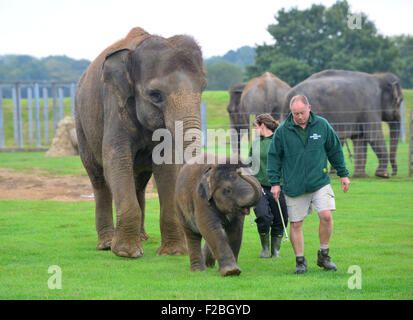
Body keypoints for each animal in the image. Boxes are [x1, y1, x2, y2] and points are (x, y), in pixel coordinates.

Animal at [74, 26, 206, 258]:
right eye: (155, 95)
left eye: (203, 88)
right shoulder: (115, 104)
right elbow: (116, 160)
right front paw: (127, 253)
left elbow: (167, 165)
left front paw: (172, 252)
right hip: (81, 124)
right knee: (98, 178)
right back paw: (106, 243)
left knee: (139, 182)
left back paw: (143, 238)